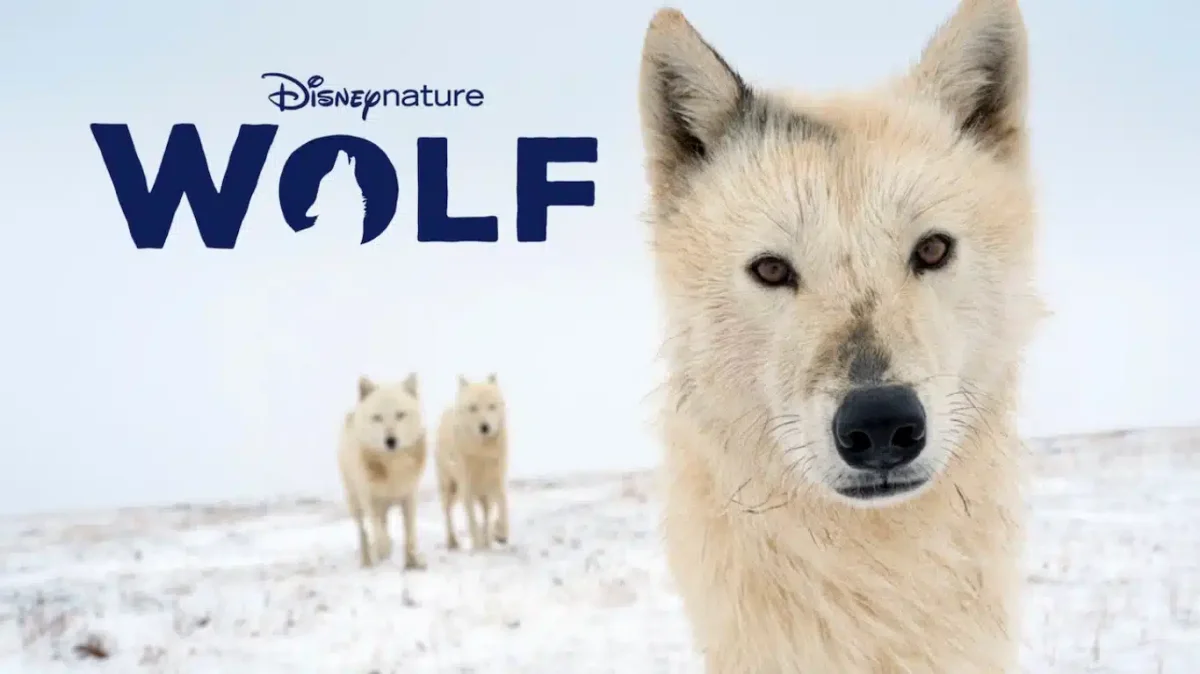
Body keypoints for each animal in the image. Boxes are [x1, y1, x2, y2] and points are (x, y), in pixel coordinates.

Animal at [336, 374, 428, 570]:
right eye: (377, 418)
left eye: (400, 415)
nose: (390, 440)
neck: (392, 465)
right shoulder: (370, 499)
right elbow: (378, 531)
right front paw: (383, 550)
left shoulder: (409, 496)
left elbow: (410, 533)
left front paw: (412, 562)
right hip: (354, 502)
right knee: (363, 531)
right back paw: (368, 560)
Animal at [435, 374, 511, 551]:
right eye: (473, 408)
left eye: (491, 406)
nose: (484, 427)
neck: (482, 453)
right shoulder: (467, 487)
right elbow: (472, 521)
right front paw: (478, 547)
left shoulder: (497, 481)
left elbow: (503, 506)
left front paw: (501, 534)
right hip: (449, 487)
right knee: (447, 511)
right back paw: (452, 542)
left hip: (484, 496)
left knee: (486, 514)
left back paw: (488, 541)